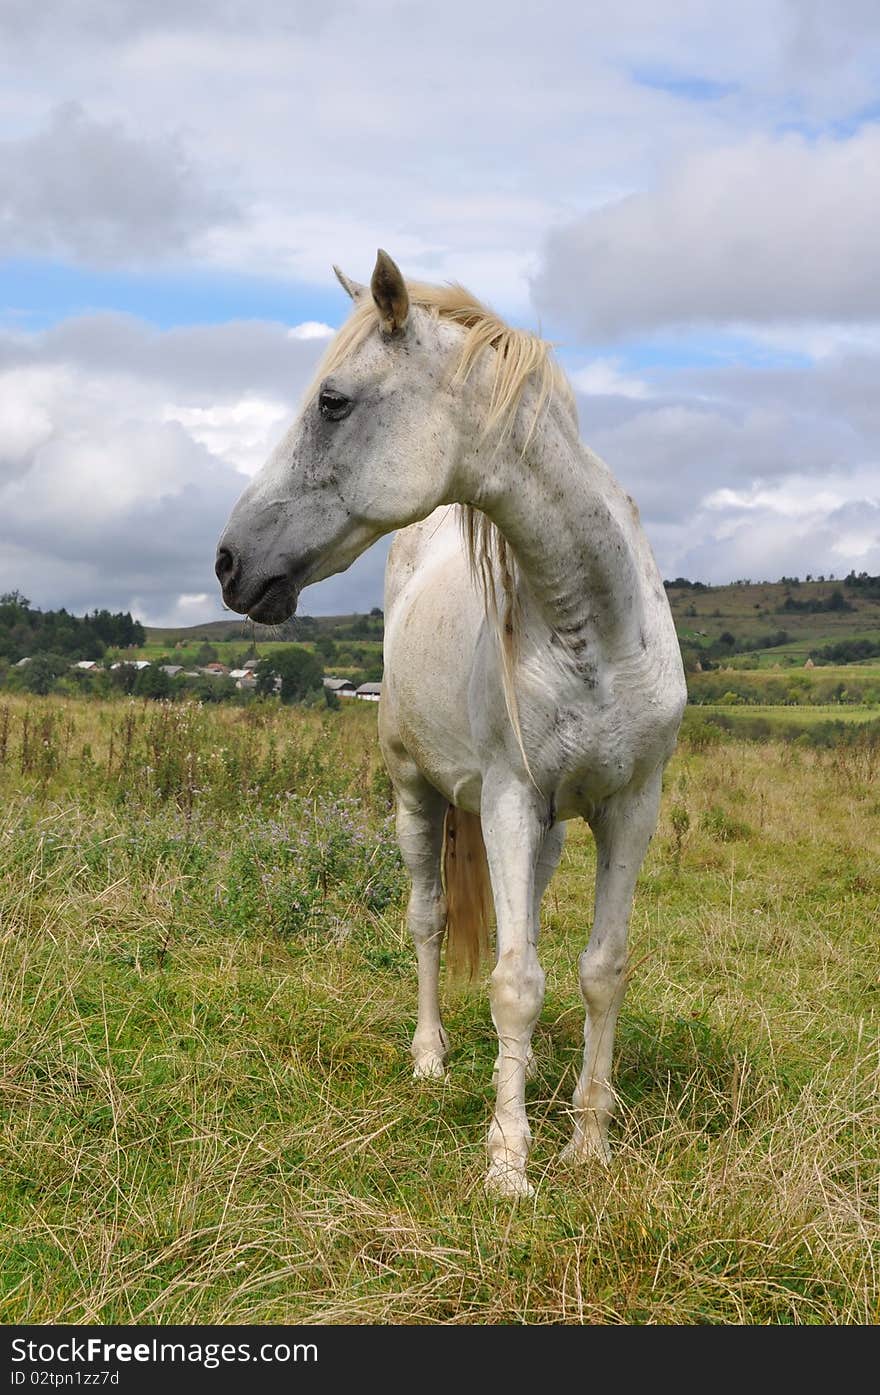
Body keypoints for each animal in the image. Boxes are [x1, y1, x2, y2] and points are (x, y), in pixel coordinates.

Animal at [214, 251, 688, 1199]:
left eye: (333, 401)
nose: (227, 562)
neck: (597, 628)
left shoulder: (632, 806)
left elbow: (598, 969)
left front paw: (588, 1140)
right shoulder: (506, 798)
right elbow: (514, 981)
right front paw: (508, 1159)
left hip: (547, 827)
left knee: (525, 919)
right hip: (417, 795)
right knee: (428, 920)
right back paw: (430, 1056)